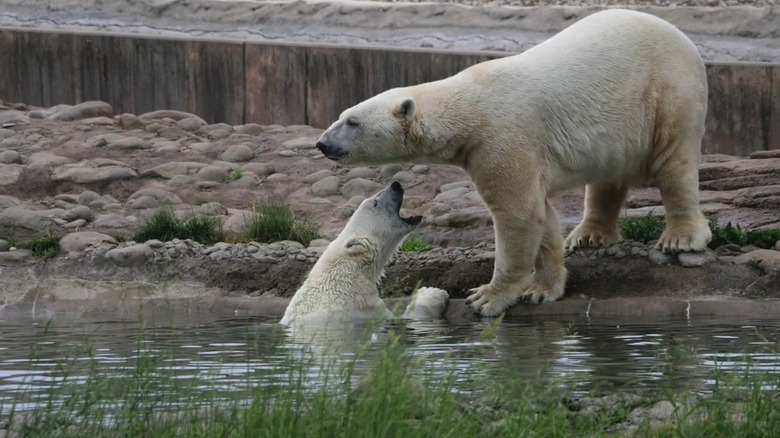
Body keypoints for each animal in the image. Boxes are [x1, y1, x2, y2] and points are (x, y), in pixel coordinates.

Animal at [316, 10, 712, 316]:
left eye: (352, 121)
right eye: (342, 115)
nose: (322, 143)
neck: (468, 107)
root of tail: (682, 37)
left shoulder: (500, 138)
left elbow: (517, 213)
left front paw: (486, 297)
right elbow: (542, 216)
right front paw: (544, 287)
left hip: (666, 91)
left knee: (674, 162)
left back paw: (681, 238)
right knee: (608, 176)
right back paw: (588, 235)